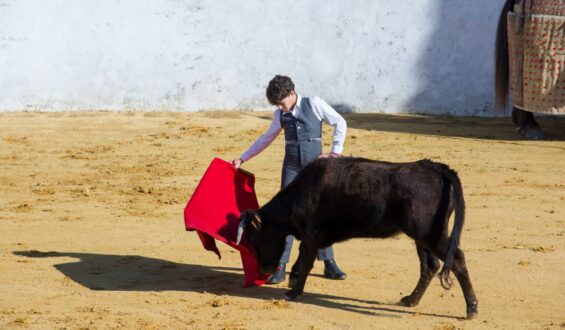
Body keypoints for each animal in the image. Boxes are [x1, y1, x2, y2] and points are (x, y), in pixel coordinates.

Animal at [236, 158, 478, 320]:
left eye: (255, 240)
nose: (265, 270)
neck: (299, 192)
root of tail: (436, 168)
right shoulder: (311, 238)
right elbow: (301, 261)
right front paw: (293, 282)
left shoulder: (311, 235)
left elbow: (305, 262)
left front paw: (293, 292)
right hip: (422, 236)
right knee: (430, 265)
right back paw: (410, 299)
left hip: (430, 234)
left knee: (456, 259)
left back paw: (472, 308)